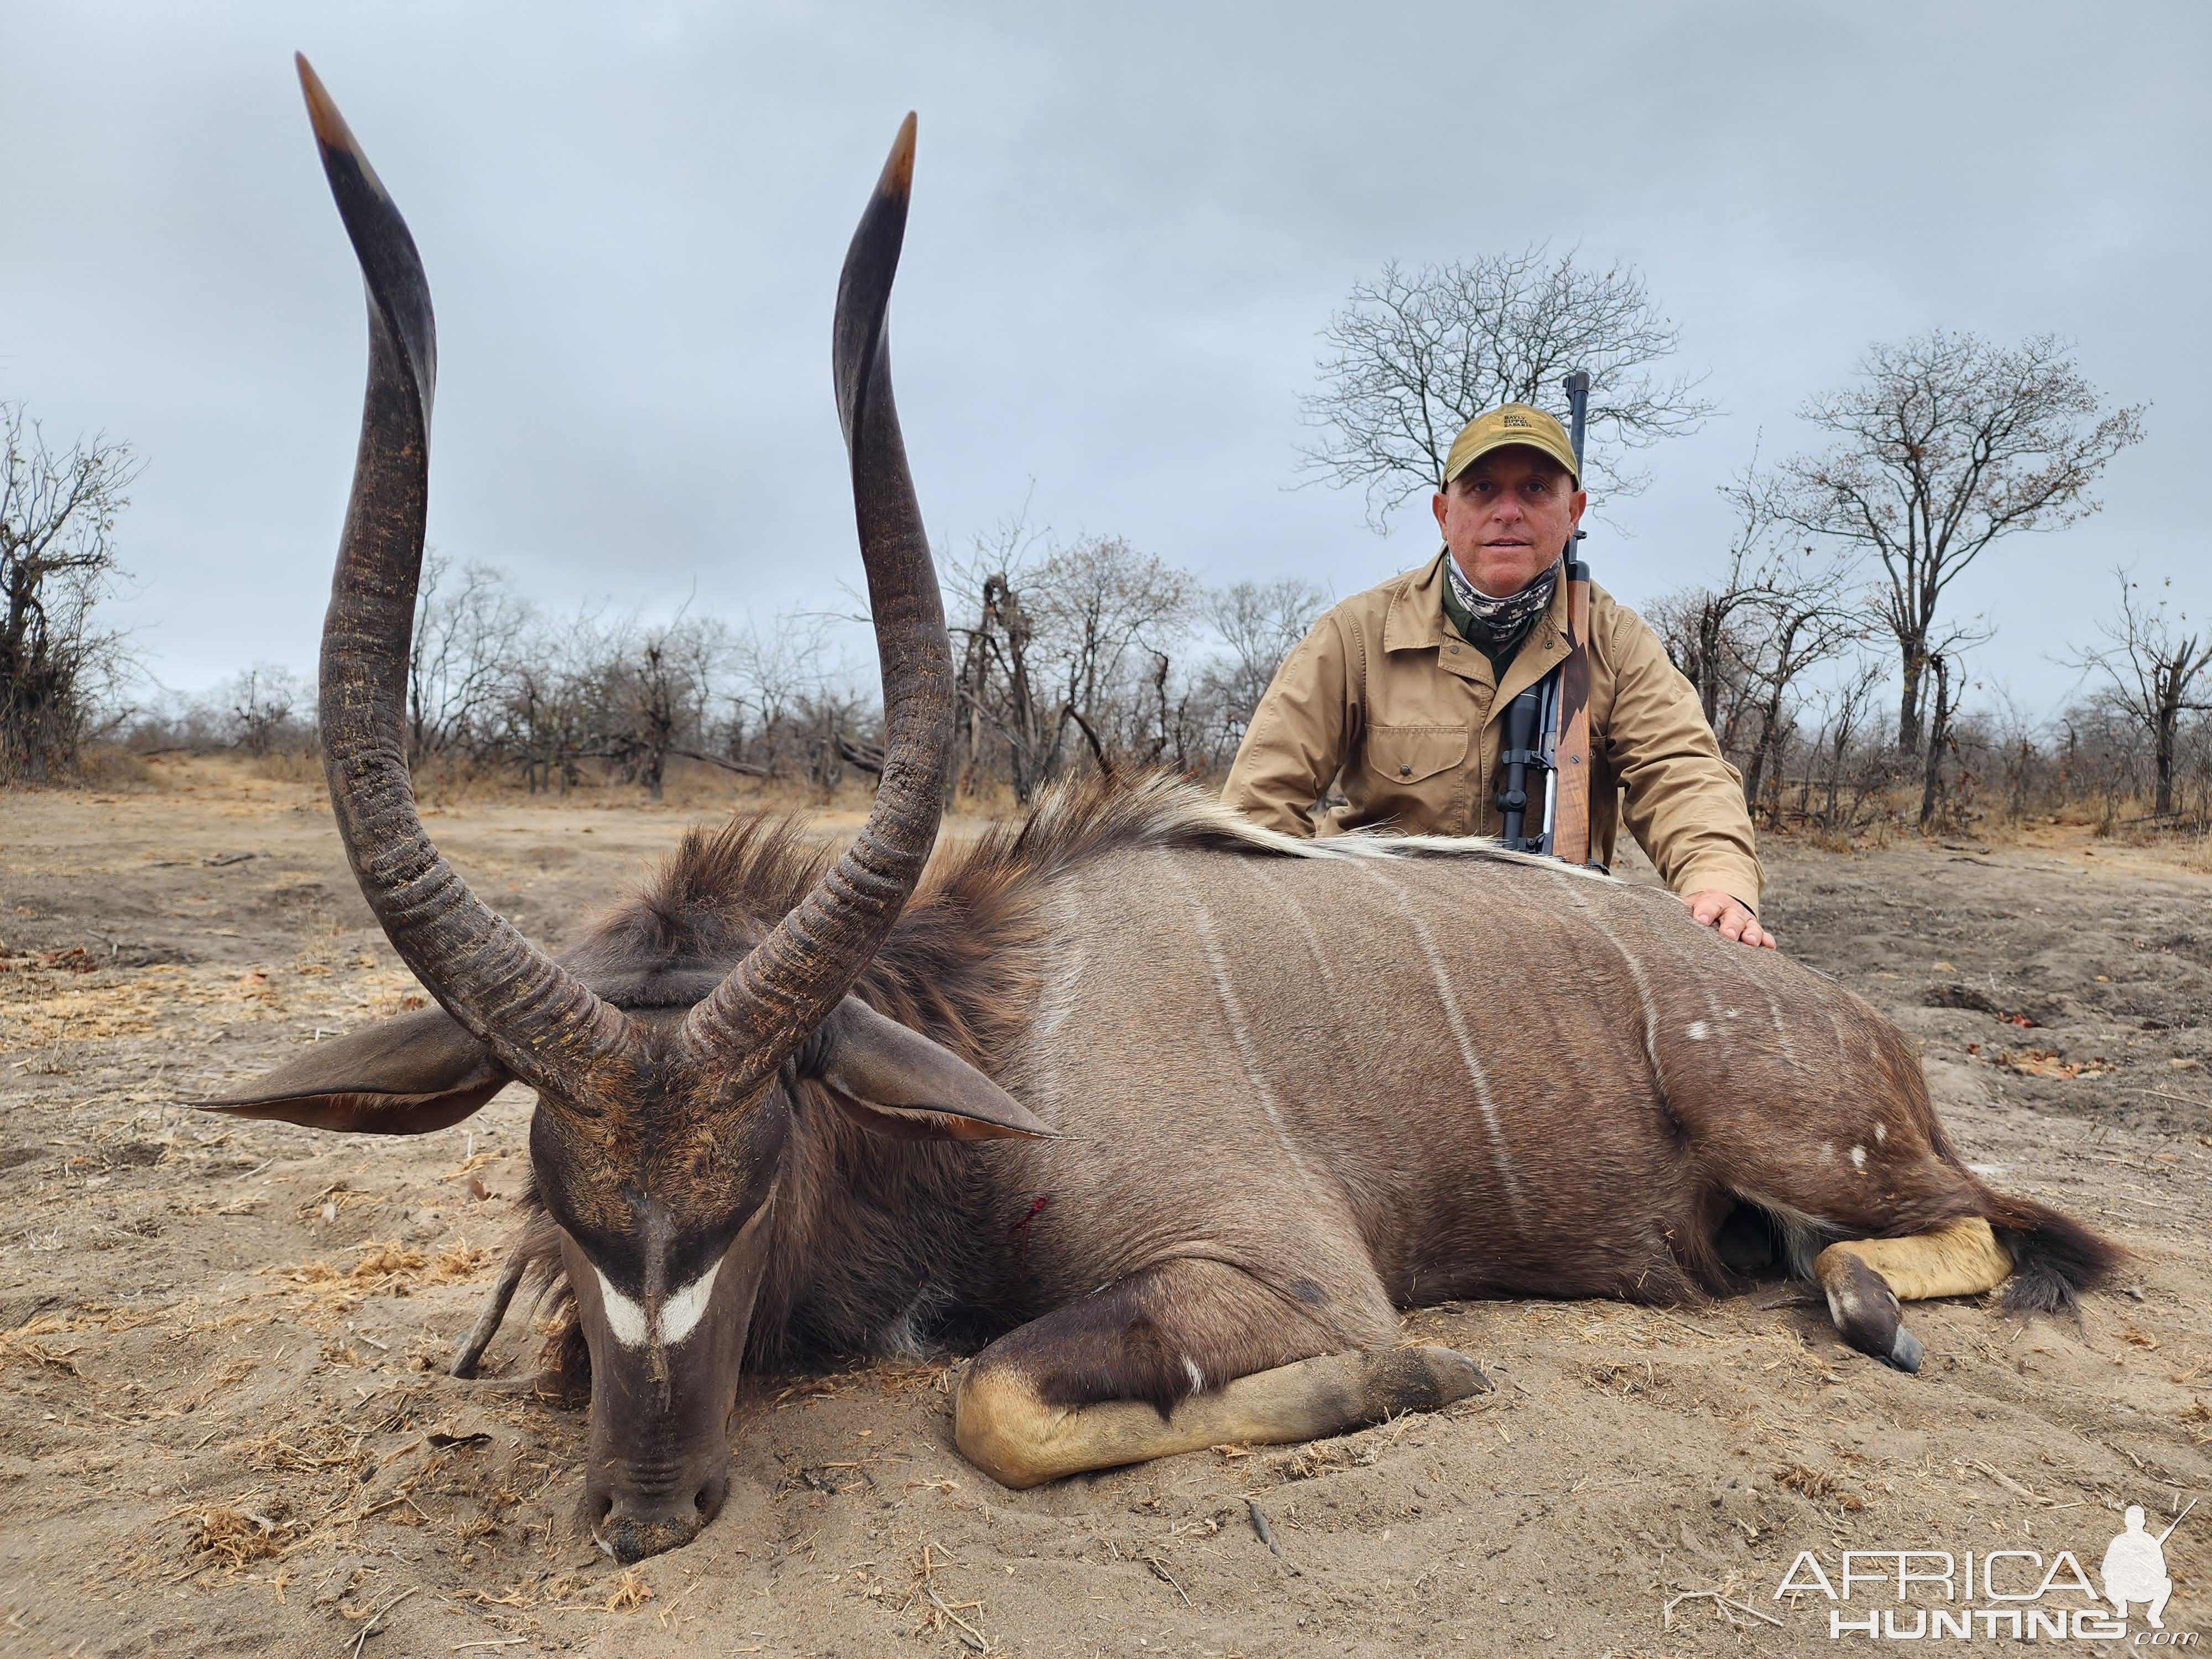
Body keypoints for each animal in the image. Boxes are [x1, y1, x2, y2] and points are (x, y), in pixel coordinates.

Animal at [211, 61, 2124, 1575]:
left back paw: (1861, 1306)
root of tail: (1854, 1022)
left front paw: (1433, 1371)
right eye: (549, 1172)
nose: (646, 1508)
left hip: (1808, 1142)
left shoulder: (1282, 1275)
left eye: (764, 1173)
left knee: (2010, 1224)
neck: (996, 1027)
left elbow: (992, 1397)